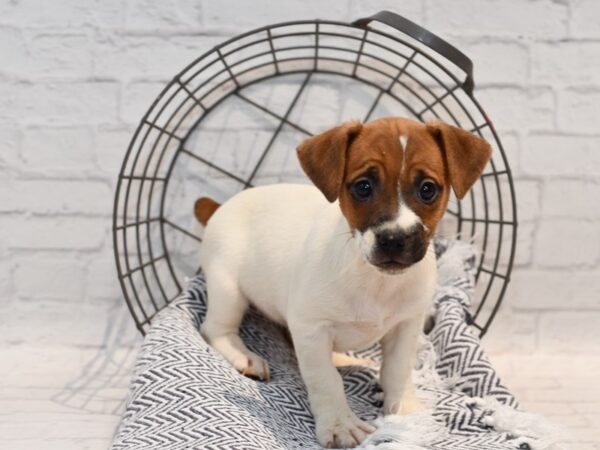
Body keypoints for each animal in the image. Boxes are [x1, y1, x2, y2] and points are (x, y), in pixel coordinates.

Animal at [195, 118, 490, 448]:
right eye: (363, 187)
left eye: (428, 189)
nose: (394, 239)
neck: (375, 281)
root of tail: (222, 205)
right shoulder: (311, 328)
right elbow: (326, 380)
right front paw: (340, 425)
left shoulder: (406, 325)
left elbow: (398, 370)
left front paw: (405, 410)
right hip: (228, 288)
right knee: (216, 329)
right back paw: (244, 356)